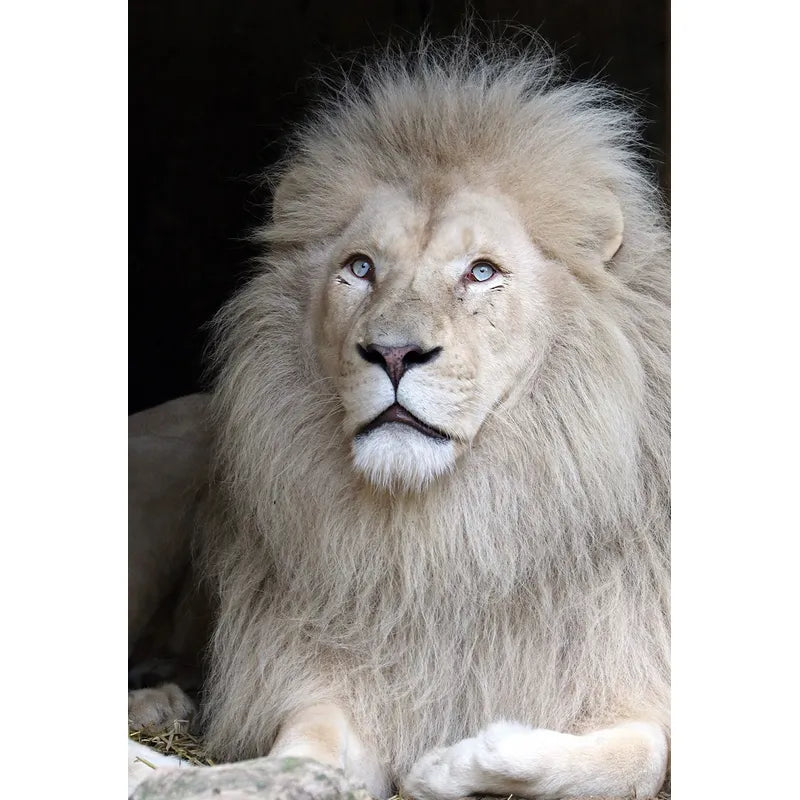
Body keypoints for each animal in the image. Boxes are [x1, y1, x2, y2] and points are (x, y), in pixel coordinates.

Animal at [129, 36, 670, 800]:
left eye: (481, 272)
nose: (392, 352)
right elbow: (307, 751)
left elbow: (635, 754)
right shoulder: (324, 680)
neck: (442, 543)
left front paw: (457, 763)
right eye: (360, 268)